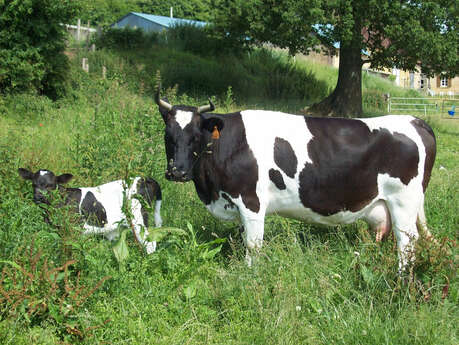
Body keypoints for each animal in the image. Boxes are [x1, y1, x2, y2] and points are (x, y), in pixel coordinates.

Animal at [18, 169, 163, 253]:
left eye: (51, 185)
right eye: (33, 184)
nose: (38, 197)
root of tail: (144, 178)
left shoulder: (73, 231)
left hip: (138, 219)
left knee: (150, 244)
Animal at [155, 90, 434, 268]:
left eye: (196, 136)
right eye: (168, 136)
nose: (177, 172)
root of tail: (414, 120)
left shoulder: (252, 202)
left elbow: (253, 246)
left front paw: (249, 277)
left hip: (404, 203)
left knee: (408, 244)